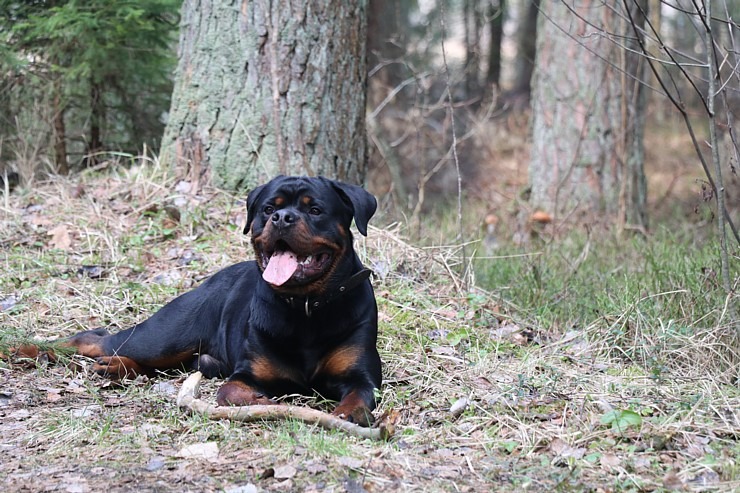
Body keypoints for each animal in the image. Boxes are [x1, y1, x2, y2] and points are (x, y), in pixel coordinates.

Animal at [51, 175, 382, 424]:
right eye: (267, 209)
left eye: (315, 210)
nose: (282, 217)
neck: (305, 307)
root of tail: (208, 281)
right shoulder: (244, 374)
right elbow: (230, 393)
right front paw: (267, 403)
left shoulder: (361, 377)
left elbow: (359, 397)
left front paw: (347, 414)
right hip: (165, 337)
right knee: (95, 338)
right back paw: (40, 350)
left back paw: (116, 368)